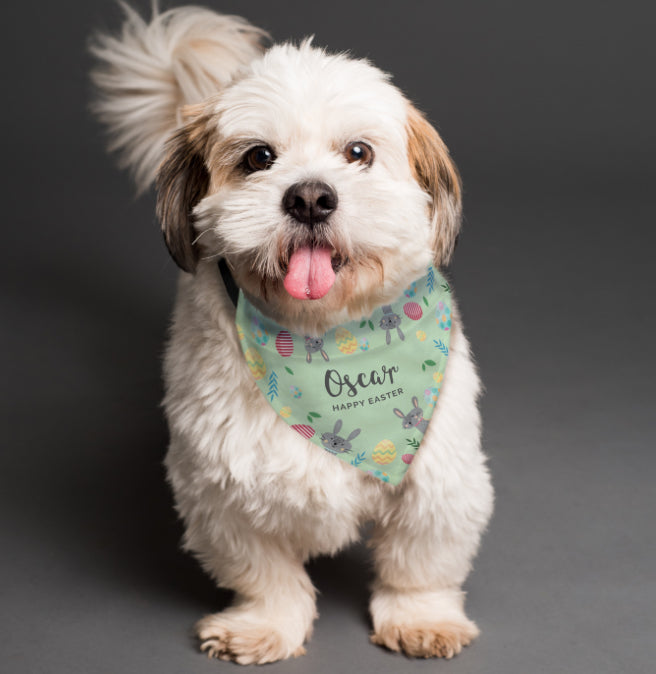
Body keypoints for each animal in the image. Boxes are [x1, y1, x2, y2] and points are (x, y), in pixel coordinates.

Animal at [91, 3, 492, 660]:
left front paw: (421, 617)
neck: (324, 337)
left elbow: (419, 562)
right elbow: (265, 573)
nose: (309, 196)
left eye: (358, 151)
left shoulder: (439, 478)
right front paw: (265, 624)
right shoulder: (220, 490)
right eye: (258, 157)